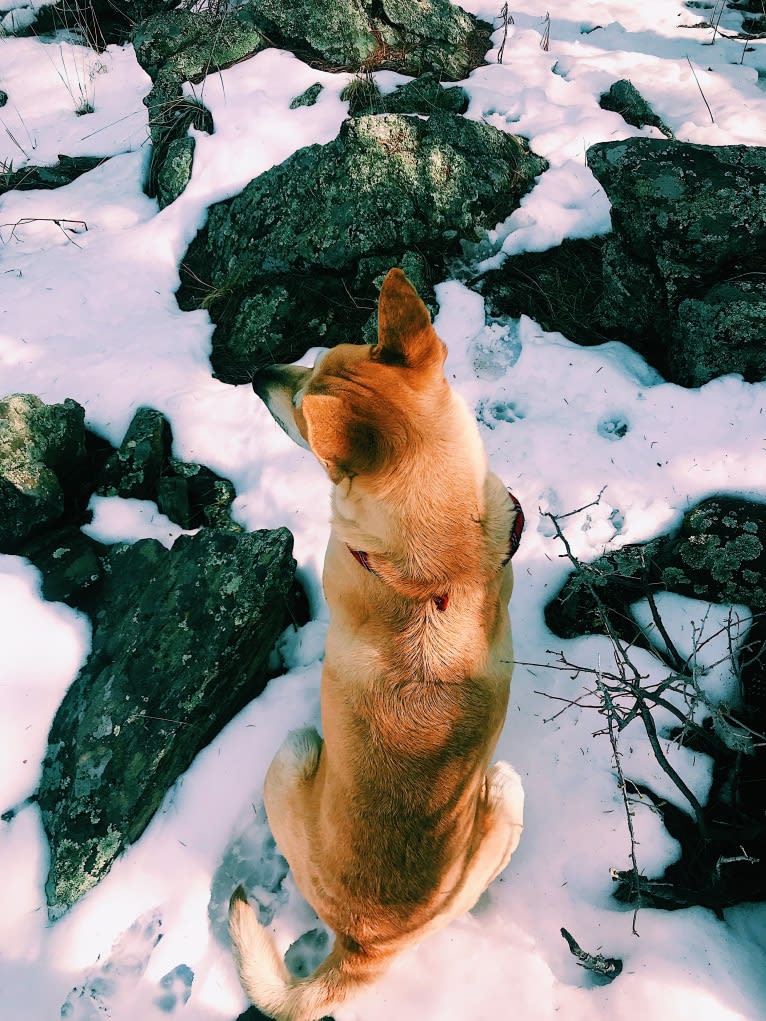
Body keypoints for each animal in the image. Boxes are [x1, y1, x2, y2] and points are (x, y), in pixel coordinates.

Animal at [229, 267, 527, 1016]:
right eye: (318, 358)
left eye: (301, 405)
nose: (255, 373)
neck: (434, 572)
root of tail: (362, 944)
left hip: (299, 751)